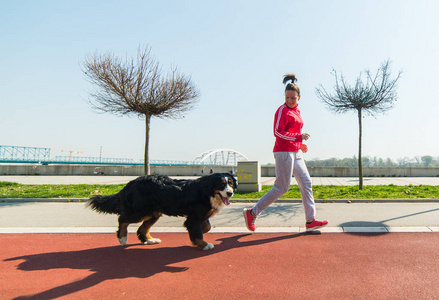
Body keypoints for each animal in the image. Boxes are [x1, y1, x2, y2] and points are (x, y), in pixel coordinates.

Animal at [87, 172, 237, 250]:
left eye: (230, 183)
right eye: (222, 184)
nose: (230, 193)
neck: (208, 191)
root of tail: (130, 184)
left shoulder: (201, 215)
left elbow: (206, 227)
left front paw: (195, 239)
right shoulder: (194, 217)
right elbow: (198, 231)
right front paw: (204, 245)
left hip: (153, 213)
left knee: (142, 228)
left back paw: (149, 240)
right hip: (139, 211)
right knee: (122, 219)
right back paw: (123, 238)